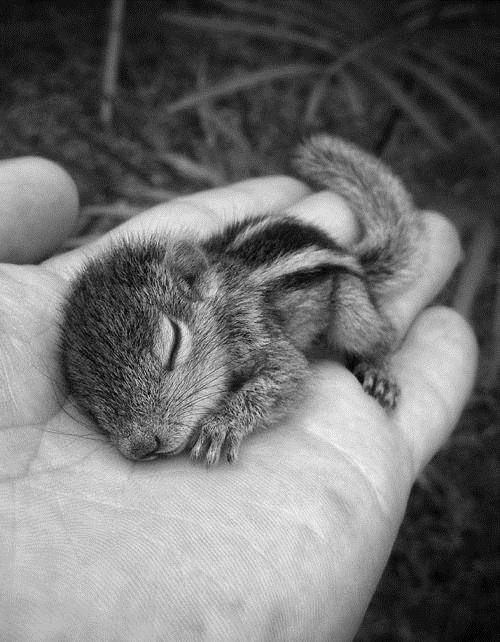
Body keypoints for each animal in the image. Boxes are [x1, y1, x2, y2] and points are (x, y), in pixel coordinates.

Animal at [61, 136, 422, 464]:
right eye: (86, 396)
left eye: (174, 345)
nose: (142, 446)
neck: (222, 304)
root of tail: (349, 254)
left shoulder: (255, 330)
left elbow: (288, 374)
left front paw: (222, 424)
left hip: (350, 307)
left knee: (381, 335)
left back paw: (378, 370)